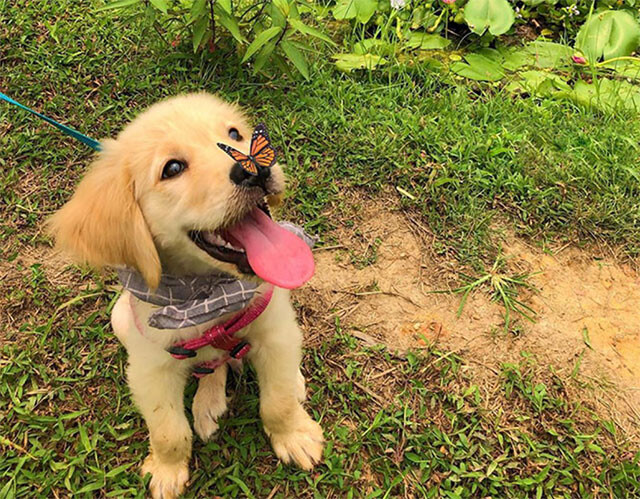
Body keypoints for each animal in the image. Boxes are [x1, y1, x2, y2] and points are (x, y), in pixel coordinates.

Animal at [48, 94, 324, 499]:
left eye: (235, 134)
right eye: (173, 168)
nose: (255, 169)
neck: (208, 297)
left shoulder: (275, 331)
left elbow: (278, 401)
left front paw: (294, 436)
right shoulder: (149, 369)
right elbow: (168, 431)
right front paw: (167, 471)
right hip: (120, 319)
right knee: (212, 366)